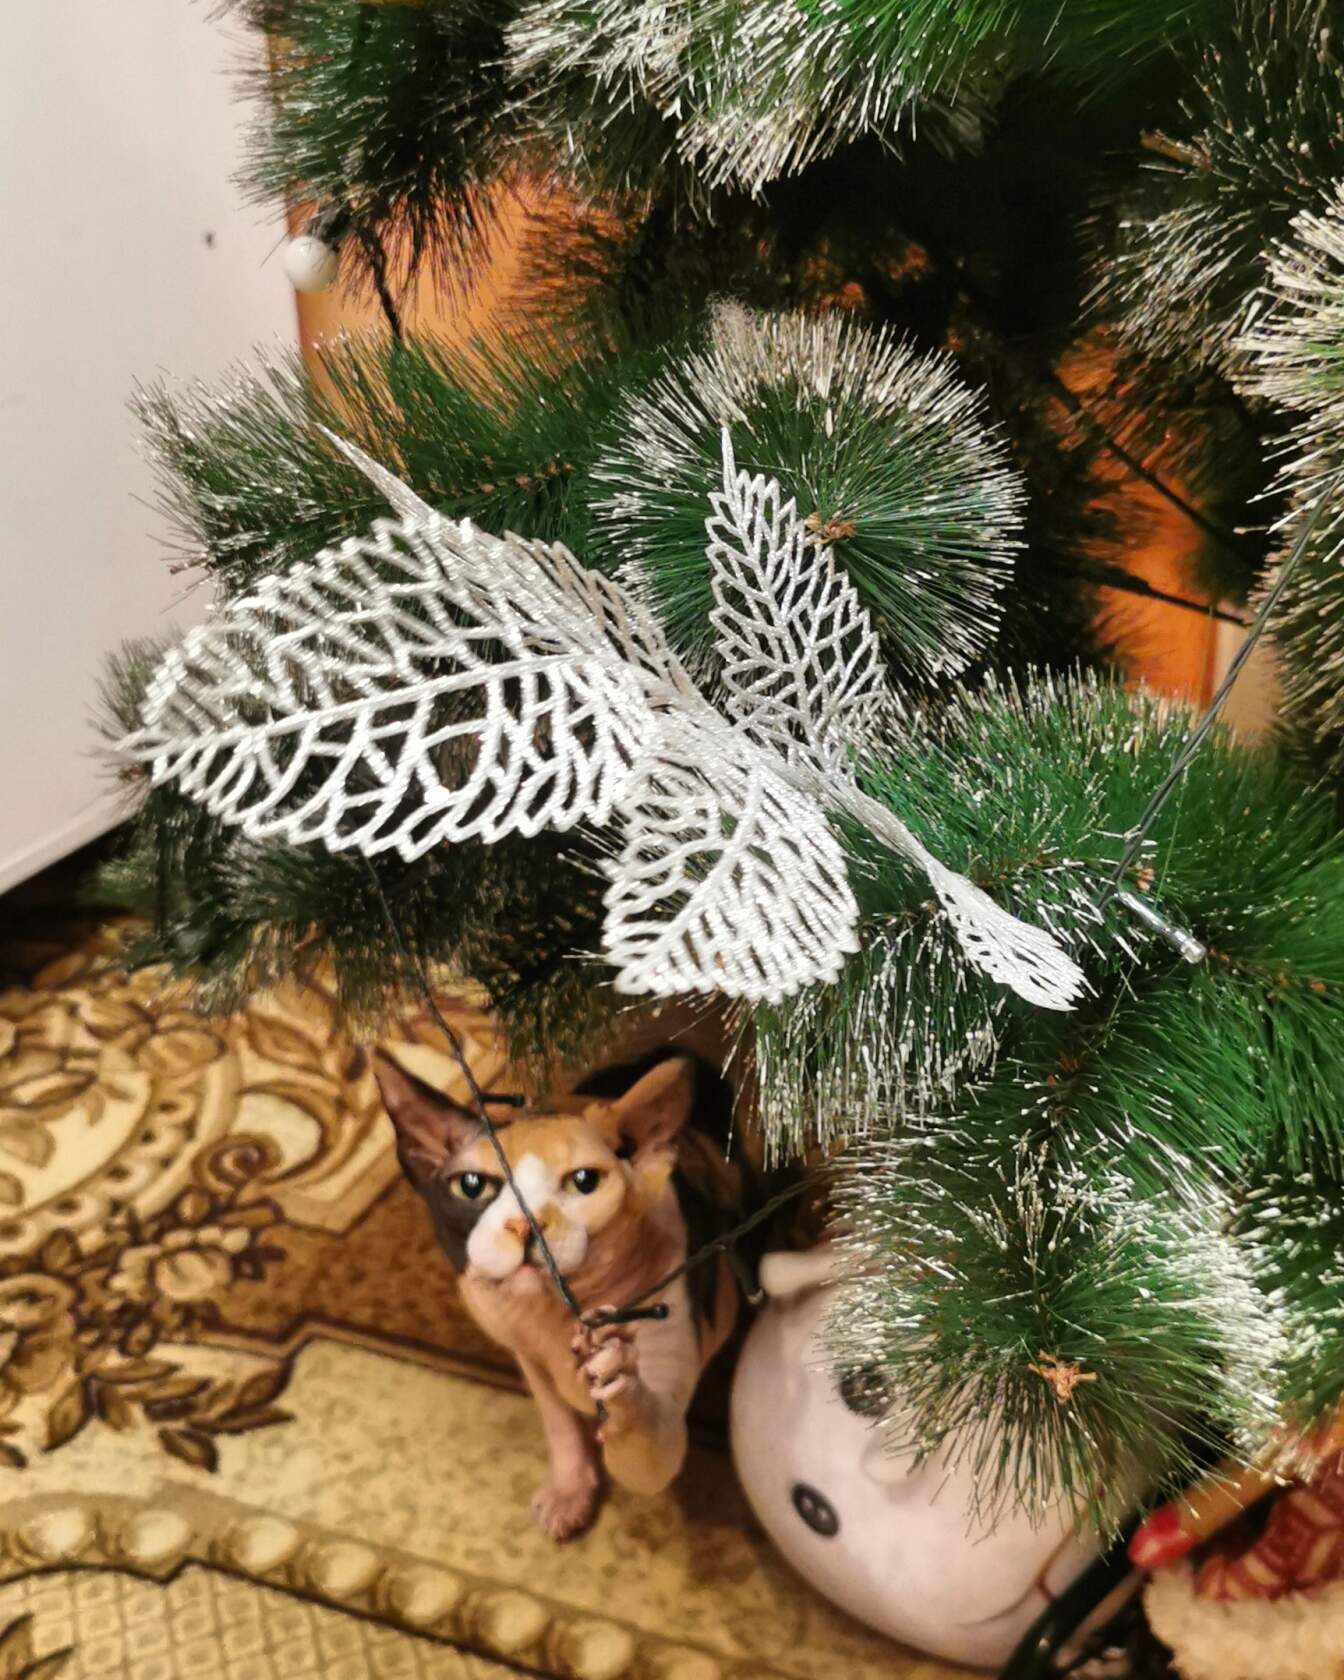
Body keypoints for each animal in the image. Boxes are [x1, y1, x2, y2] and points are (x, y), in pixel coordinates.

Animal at [373, 1050, 740, 1541]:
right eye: (471, 1186)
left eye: (584, 1181)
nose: (525, 1224)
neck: (555, 1315)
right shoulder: (523, 1350)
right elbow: (558, 1420)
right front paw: (570, 1489)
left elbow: (645, 1444)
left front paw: (618, 1382)